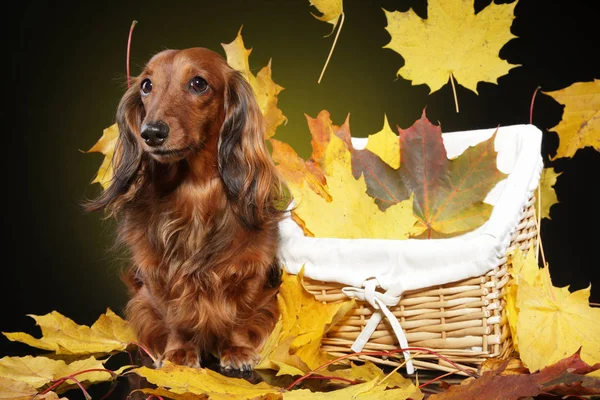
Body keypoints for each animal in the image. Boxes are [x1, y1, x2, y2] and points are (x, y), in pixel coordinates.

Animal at [86, 48, 288, 374]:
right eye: (146, 85)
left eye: (198, 83)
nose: (151, 133)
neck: (195, 190)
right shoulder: (156, 277)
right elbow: (175, 317)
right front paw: (179, 353)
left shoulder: (250, 268)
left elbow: (238, 314)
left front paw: (237, 350)